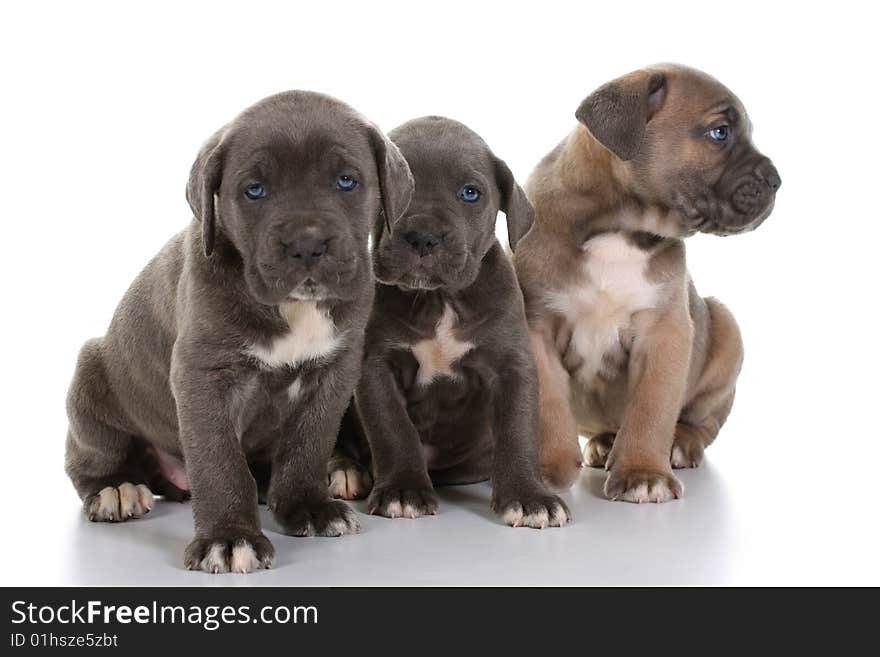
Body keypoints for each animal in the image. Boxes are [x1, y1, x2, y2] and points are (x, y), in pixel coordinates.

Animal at [65, 91, 416, 576]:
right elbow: (220, 461)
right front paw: (229, 538)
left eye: (347, 181)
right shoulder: (204, 376)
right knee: (89, 458)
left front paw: (307, 506)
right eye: (254, 191)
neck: (293, 308)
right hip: (91, 375)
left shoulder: (335, 370)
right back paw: (115, 488)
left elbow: (309, 441)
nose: (306, 245)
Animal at [330, 116, 572, 528]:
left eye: (470, 193)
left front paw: (528, 496)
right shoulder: (376, 366)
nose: (423, 236)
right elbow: (393, 428)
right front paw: (403, 491)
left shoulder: (512, 366)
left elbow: (518, 430)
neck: (438, 300)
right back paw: (345, 471)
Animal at [516, 64, 784, 500]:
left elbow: (652, 407)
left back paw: (680, 444)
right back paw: (604, 443)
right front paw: (544, 469)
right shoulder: (536, 328)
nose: (777, 179)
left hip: (724, 327)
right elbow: (549, 407)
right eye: (720, 133)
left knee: (702, 422)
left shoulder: (664, 331)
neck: (620, 227)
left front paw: (643, 472)